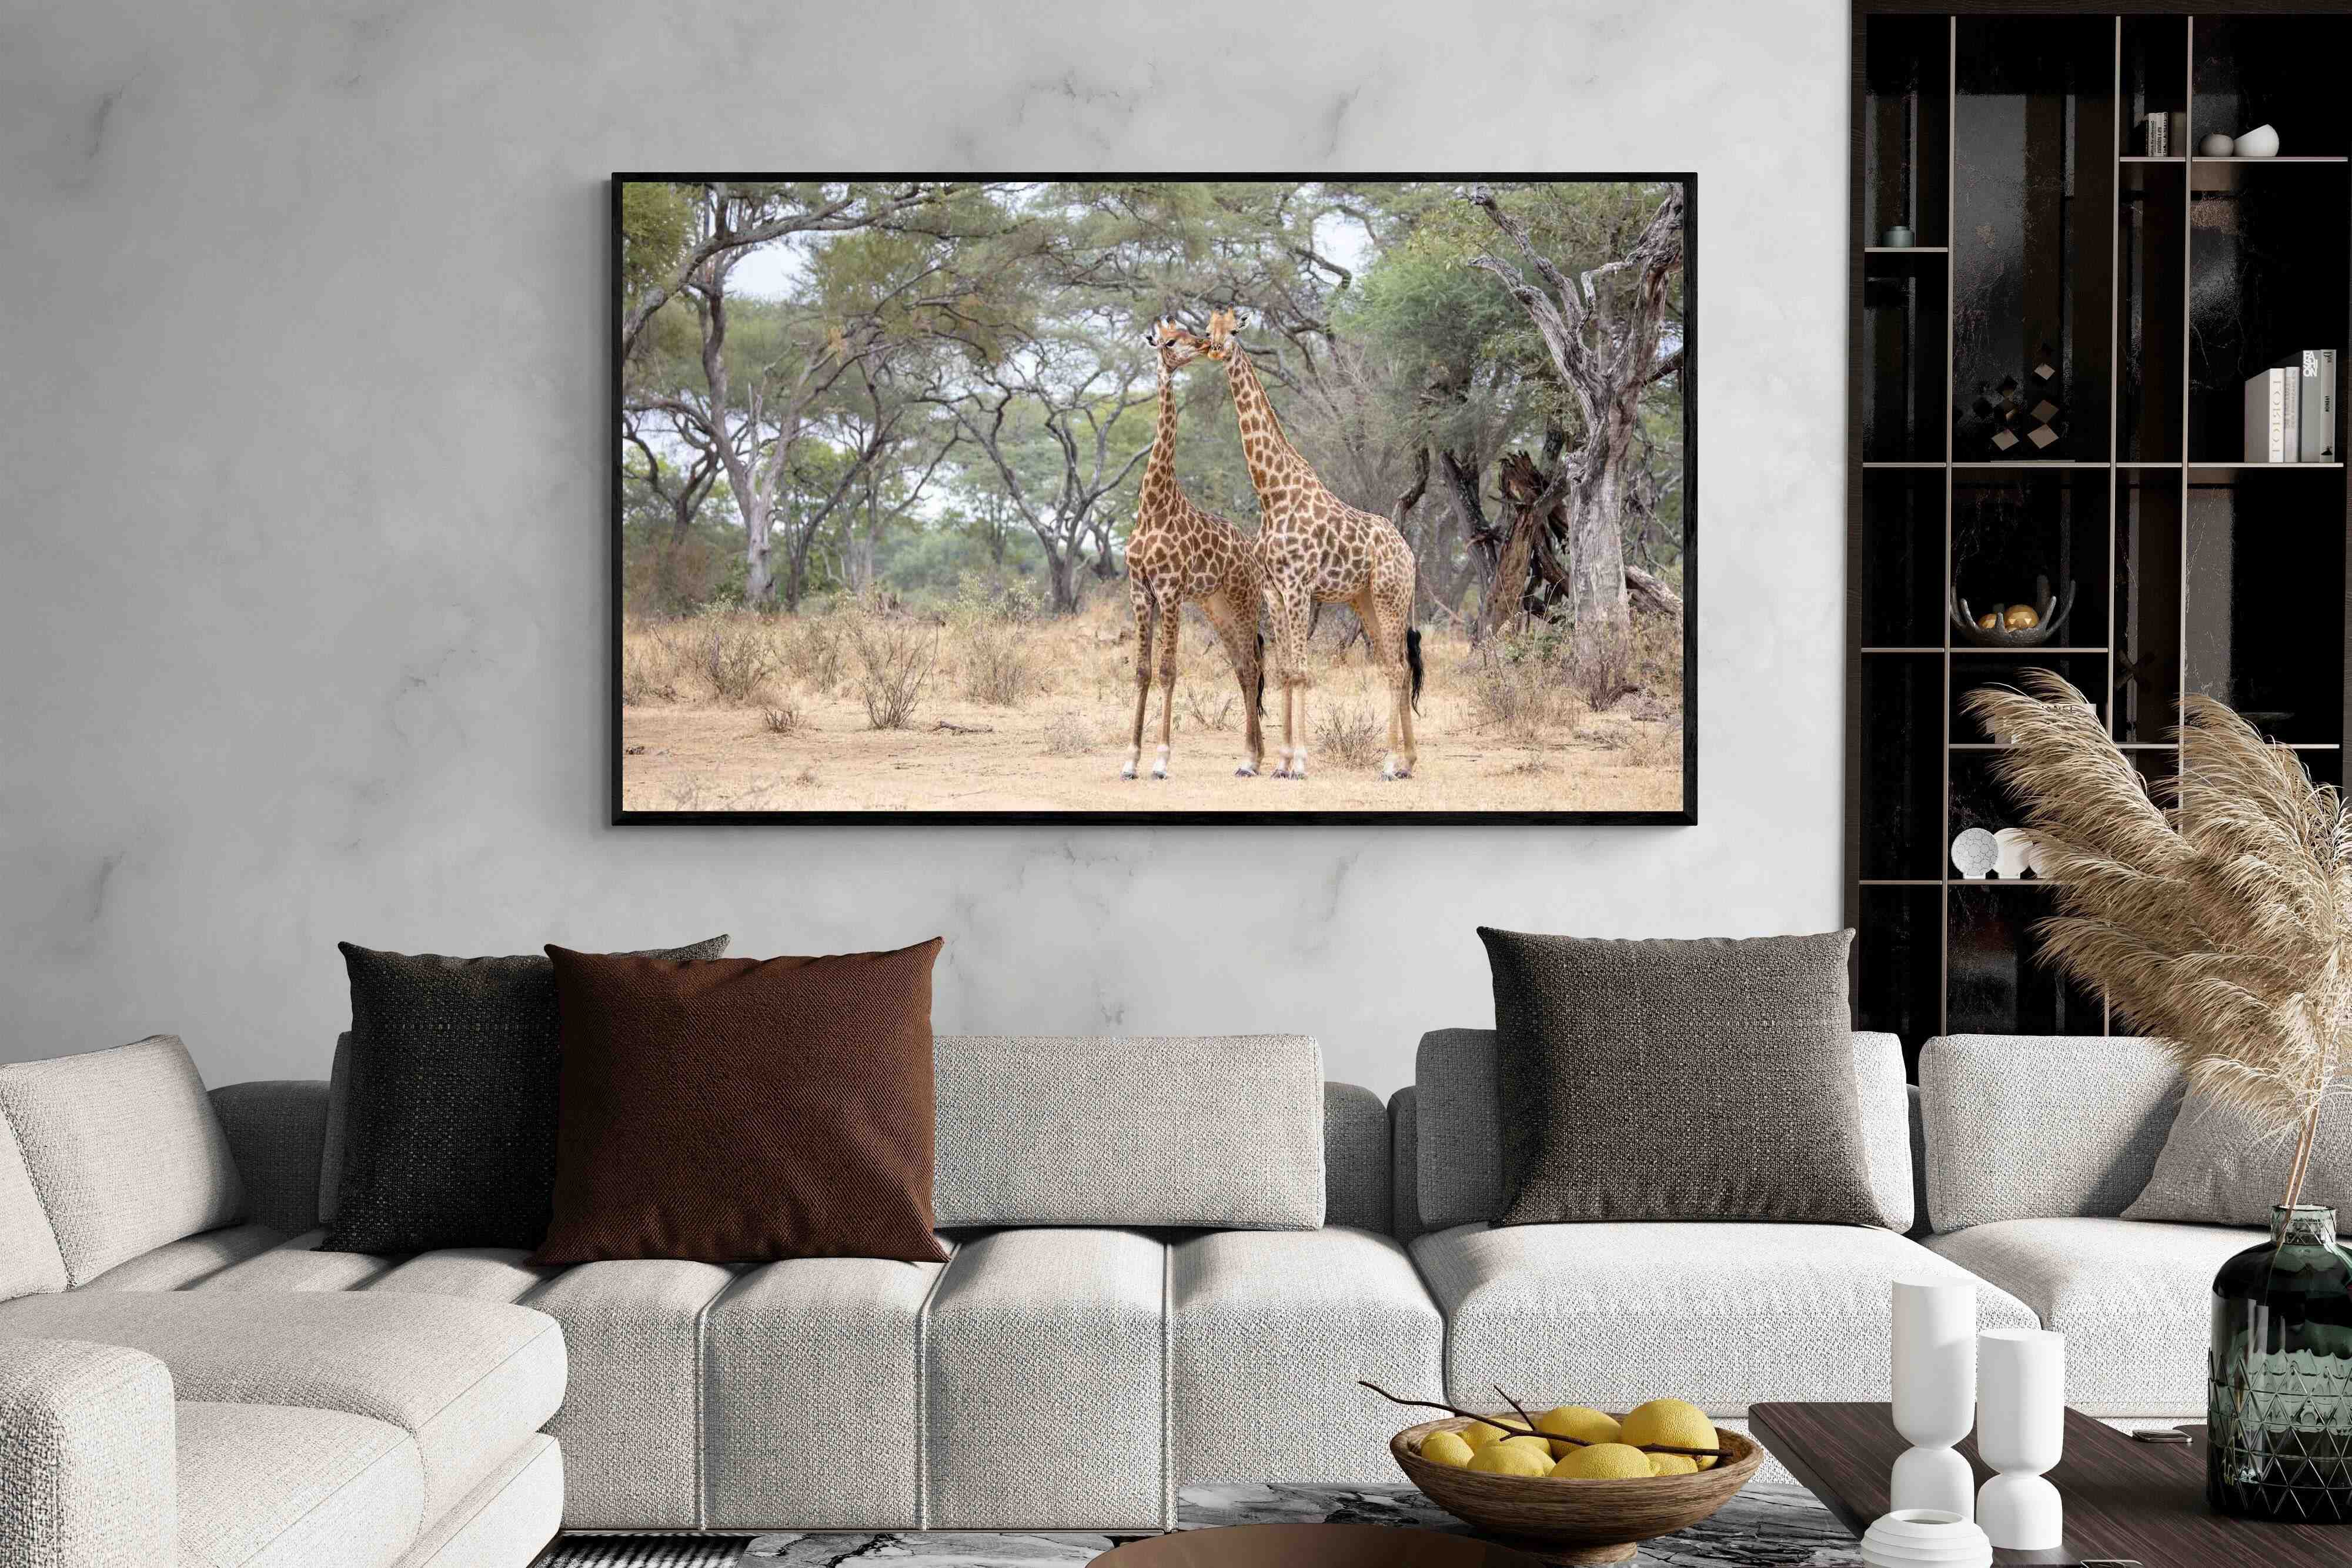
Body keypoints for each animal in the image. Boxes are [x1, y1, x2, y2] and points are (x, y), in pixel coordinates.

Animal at [1121, 319, 1266, 781]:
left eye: (1188, 332)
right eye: (1169, 340)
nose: (1203, 345)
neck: (1153, 506)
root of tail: (1252, 554)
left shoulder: (1169, 591)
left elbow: (1168, 670)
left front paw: (1161, 760)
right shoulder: (1140, 590)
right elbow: (1143, 671)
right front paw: (1130, 760)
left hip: (1243, 601)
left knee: (1252, 667)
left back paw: (1249, 759)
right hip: (1215, 606)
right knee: (1243, 668)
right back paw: (1255, 756)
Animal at [1198, 309, 1423, 780]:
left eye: (1234, 329)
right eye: (1208, 329)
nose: (1215, 348)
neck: (1272, 493)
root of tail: (1409, 554)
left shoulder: (1299, 587)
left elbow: (1301, 671)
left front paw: (1299, 763)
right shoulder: (1275, 592)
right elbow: (1285, 670)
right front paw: (1281, 762)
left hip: (1390, 597)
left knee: (1396, 669)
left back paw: (1390, 763)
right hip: (1366, 601)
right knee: (1397, 667)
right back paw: (1407, 761)